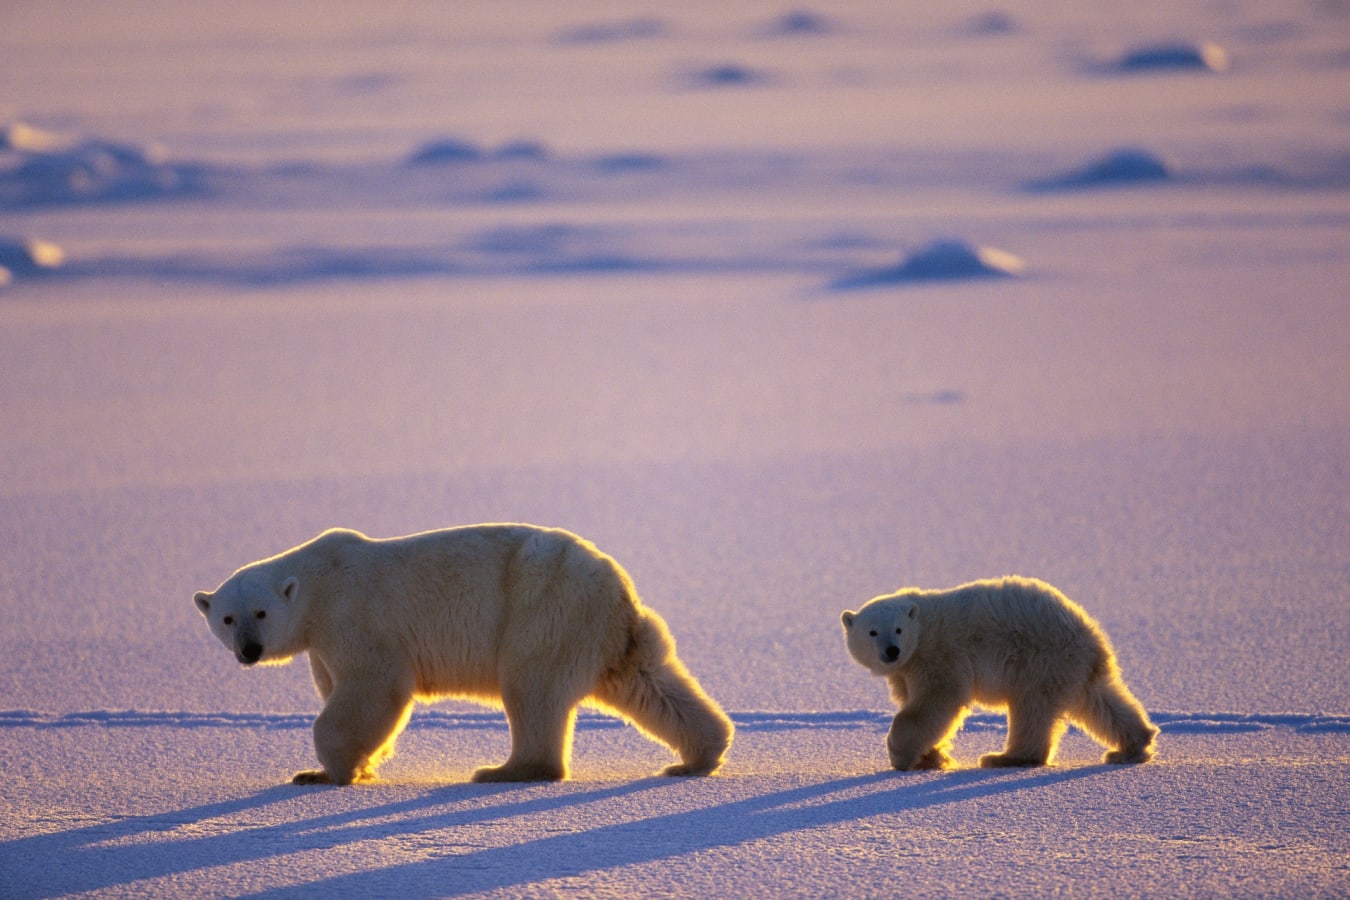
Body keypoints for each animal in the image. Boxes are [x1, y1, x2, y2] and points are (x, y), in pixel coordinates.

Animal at [193, 524, 733, 785]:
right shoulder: (321, 645)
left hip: (543, 609)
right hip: (604, 634)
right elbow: (339, 690)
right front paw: (347, 766)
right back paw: (700, 755)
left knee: (531, 688)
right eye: (227, 618)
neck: (318, 583)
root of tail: (619, 588)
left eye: (260, 612)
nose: (249, 650)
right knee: (650, 684)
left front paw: (329, 773)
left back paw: (505, 770)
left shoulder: (354, 618)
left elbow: (376, 688)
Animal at [841, 576, 1156, 770]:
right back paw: (1133, 746)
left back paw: (1004, 757)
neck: (921, 626)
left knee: (1031, 710)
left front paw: (900, 754)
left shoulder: (938, 655)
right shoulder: (905, 670)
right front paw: (932, 757)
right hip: (1073, 668)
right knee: (1100, 702)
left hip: (1040, 660)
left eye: (897, 629)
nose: (891, 651)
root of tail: (1091, 637)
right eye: (872, 632)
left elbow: (936, 701)